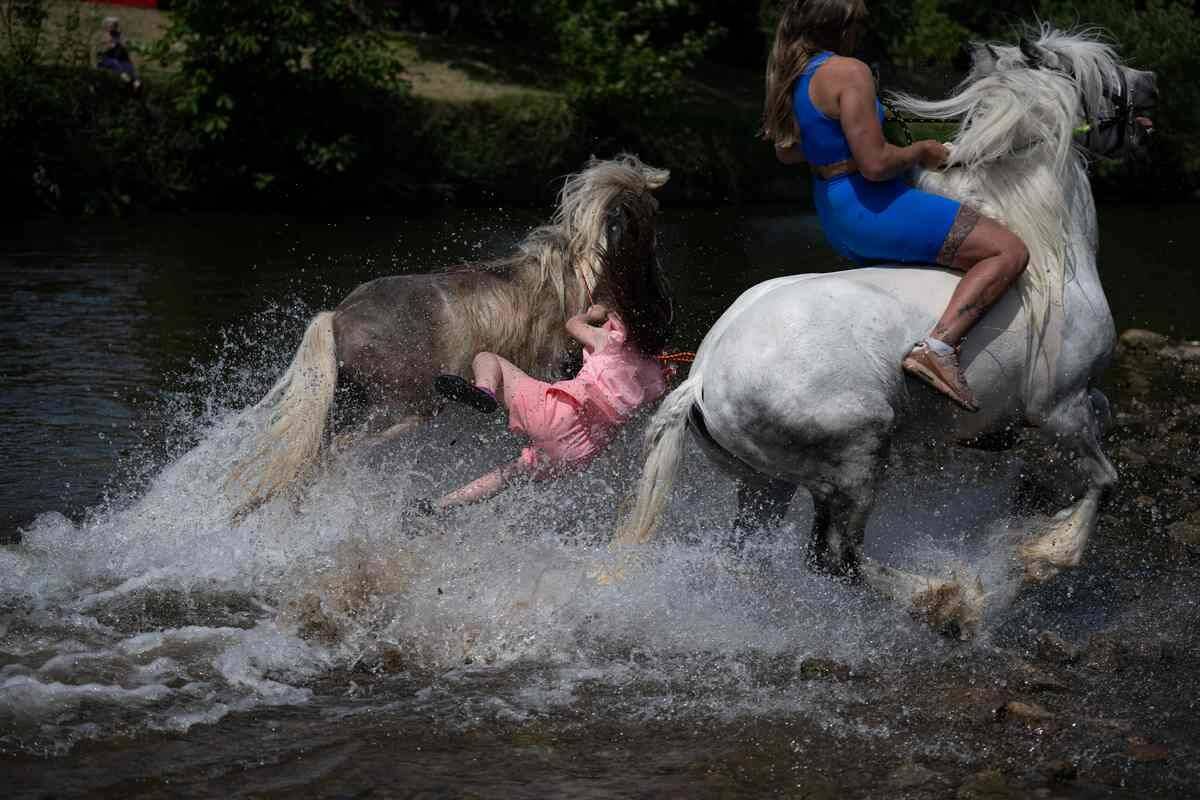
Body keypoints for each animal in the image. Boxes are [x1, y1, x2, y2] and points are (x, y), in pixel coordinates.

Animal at [228, 155, 672, 513]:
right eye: (643, 224)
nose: (661, 314)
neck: (570, 278)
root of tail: (336, 317)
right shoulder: (553, 368)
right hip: (401, 404)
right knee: (346, 445)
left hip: (358, 400)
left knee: (321, 448)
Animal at [614, 26, 1156, 638]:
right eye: (1104, 75)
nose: (1152, 83)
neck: (1051, 251)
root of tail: (702, 377)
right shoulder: (1059, 409)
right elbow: (1105, 482)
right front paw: (1043, 553)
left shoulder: (1073, 404)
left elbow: (1100, 425)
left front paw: (1027, 518)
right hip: (857, 456)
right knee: (835, 558)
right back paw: (947, 603)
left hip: (764, 482)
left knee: (749, 554)